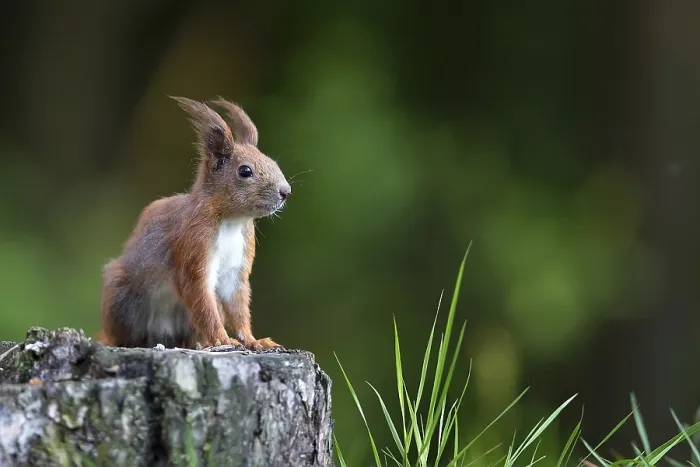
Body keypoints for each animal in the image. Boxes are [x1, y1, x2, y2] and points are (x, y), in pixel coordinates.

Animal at [97, 96, 291, 351]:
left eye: (272, 162)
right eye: (245, 171)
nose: (286, 191)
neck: (231, 221)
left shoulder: (237, 265)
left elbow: (237, 304)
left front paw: (253, 340)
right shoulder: (194, 245)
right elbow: (200, 296)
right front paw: (222, 339)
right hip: (121, 296)